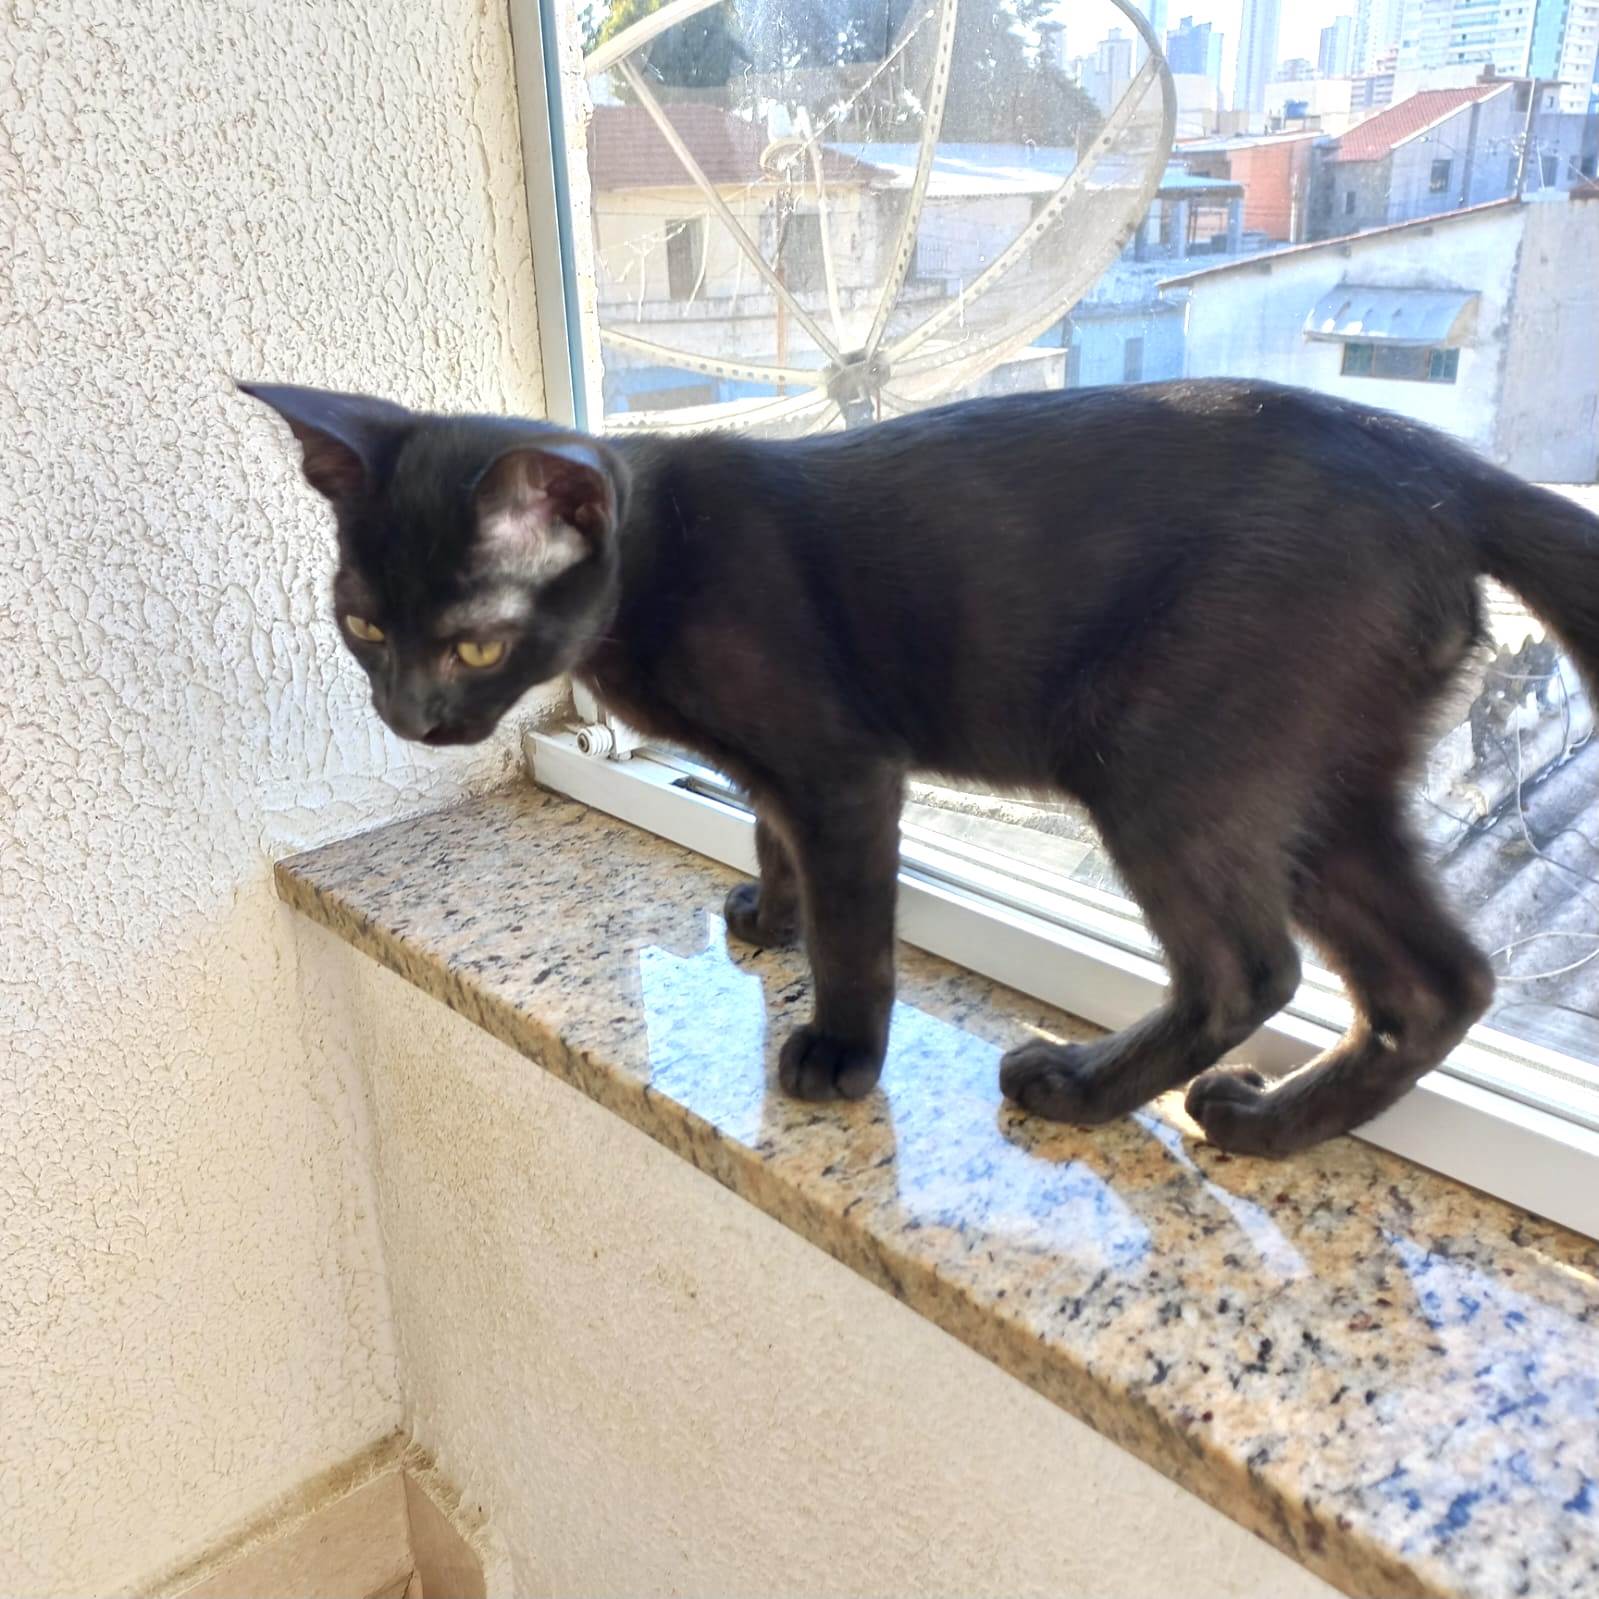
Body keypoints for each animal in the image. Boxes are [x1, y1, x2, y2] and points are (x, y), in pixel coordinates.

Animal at [240, 378, 1599, 1156]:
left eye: (475, 640)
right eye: (362, 625)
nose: (411, 716)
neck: (656, 559)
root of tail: (1436, 464)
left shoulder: (844, 768)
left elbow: (857, 928)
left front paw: (838, 1052)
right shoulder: (781, 772)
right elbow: (766, 829)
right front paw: (769, 915)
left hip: (1166, 755)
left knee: (1248, 970)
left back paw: (1081, 1091)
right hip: (1321, 781)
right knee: (1441, 981)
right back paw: (1274, 1131)